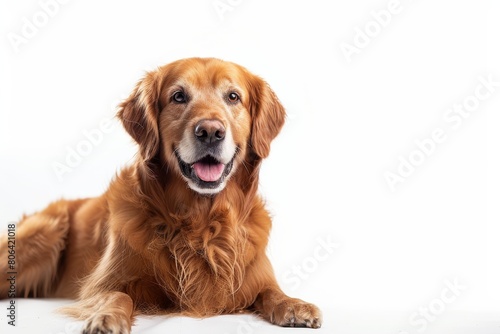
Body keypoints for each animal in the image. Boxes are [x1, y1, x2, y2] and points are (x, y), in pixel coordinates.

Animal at [0, 58, 320, 332]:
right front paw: (107, 317)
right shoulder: (101, 284)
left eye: (233, 97)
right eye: (178, 96)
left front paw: (295, 305)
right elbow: (118, 296)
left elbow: (271, 292)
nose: (210, 131)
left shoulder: (255, 277)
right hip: (45, 233)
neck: (201, 219)